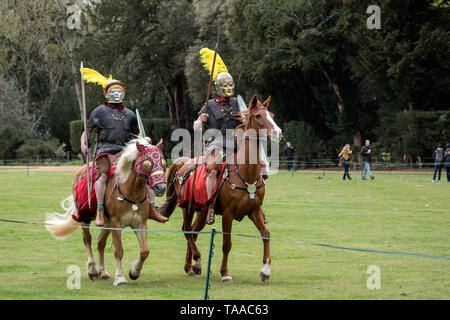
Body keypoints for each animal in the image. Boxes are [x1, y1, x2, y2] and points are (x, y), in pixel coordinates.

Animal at [44, 136, 168, 286]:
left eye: (163, 163)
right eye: (147, 164)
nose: (161, 187)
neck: (131, 193)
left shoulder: (140, 223)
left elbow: (145, 251)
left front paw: (134, 272)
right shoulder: (116, 223)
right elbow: (118, 251)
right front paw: (120, 278)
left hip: (107, 223)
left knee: (100, 243)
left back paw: (103, 272)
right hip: (86, 217)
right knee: (87, 239)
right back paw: (92, 270)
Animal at [158, 95, 282, 282]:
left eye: (272, 115)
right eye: (258, 116)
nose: (277, 133)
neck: (246, 174)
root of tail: (183, 163)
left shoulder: (255, 210)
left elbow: (265, 234)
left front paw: (265, 271)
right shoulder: (228, 214)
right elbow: (226, 244)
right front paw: (225, 273)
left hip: (202, 211)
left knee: (193, 232)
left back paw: (190, 267)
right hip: (188, 206)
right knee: (187, 230)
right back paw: (197, 261)